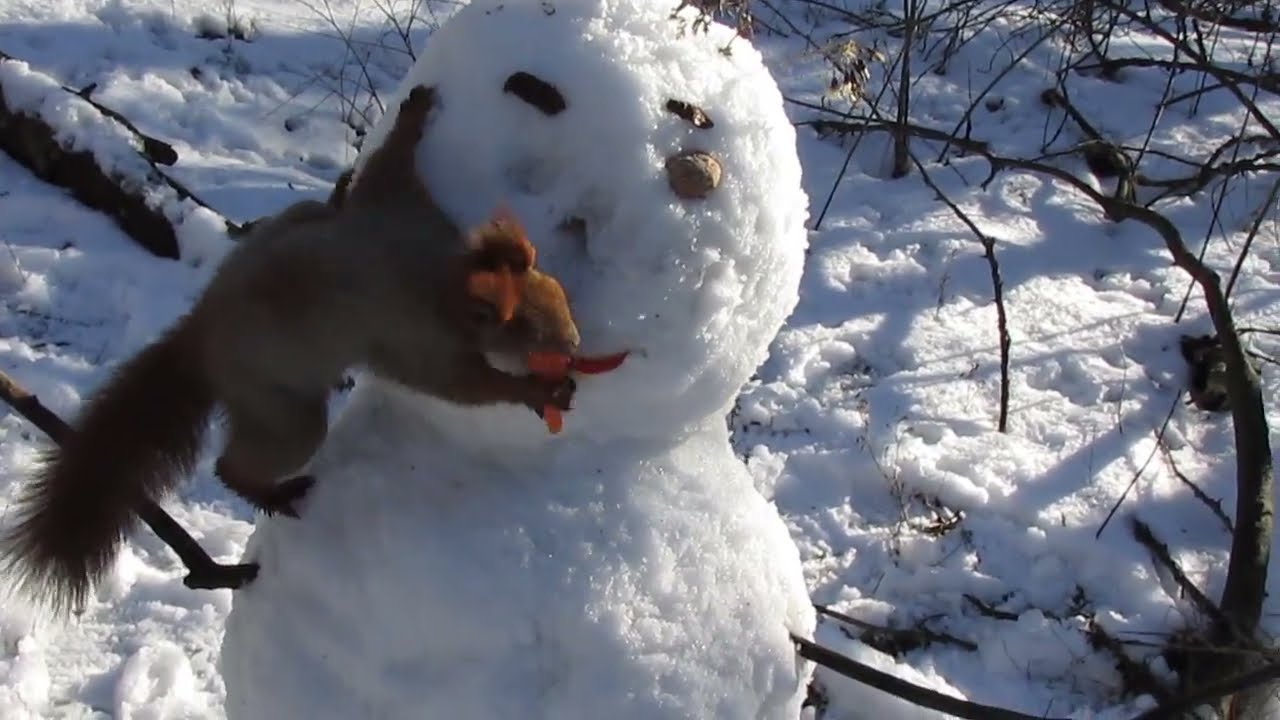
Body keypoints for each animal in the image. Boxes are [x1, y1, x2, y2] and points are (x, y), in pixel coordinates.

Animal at [0, 84, 582, 613]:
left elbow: (390, 168)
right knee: (238, 464)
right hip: (282, 410)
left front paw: (414, 111)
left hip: (295, 228)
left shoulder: (401, 212)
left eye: (558, 291)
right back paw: (271, 493)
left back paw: (335, 191)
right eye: (526, 328)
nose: (574, 341)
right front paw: (540, 390)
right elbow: (462, 385)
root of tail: (201, 343)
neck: (443, 277)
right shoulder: (416, 334)